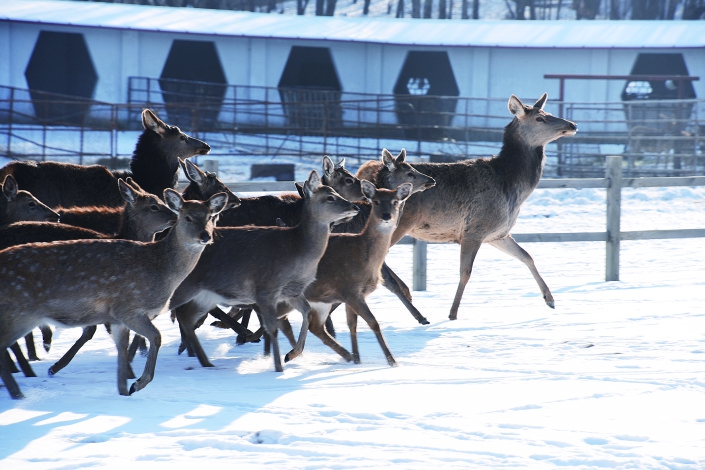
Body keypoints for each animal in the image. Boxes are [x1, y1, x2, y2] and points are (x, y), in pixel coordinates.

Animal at [0, 189, 227, 398]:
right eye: (187, 217)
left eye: (210, 217)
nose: (205, 236)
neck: (161, 269)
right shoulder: (129, 307)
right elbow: (156, 336)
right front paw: (138, 383)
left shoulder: (116, 318)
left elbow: (122, 350)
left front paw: (124, 391)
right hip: (20, 313)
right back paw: (19, 393)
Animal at [168, 171, 360, 372]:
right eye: (330, 197)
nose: (355, 206)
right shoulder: (266, 289)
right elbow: (272, 325)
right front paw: (276, 360)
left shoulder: (290, 292)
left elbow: (302, 314)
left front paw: (292, 354)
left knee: (186, 315)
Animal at [280, 178, 412, 366]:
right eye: (376, 201)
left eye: (395, 202)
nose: (386, 216)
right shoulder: (350, 290)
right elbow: (373, 323)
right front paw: (392, 361)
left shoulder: (352, 295)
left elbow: (352, 324)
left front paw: (357, 359)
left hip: (320, 301)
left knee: (315, 326)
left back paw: (344, 355)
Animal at [354, 92, 576, 320]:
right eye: (540, 118)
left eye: (548, 112)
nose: (572, 124)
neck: (512, 188)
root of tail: (366, 172)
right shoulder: (475, 229)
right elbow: (466, 272)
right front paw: (452, 314)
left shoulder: (497, 233)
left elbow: (527, 256)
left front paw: (550, 300)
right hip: (397, 225)